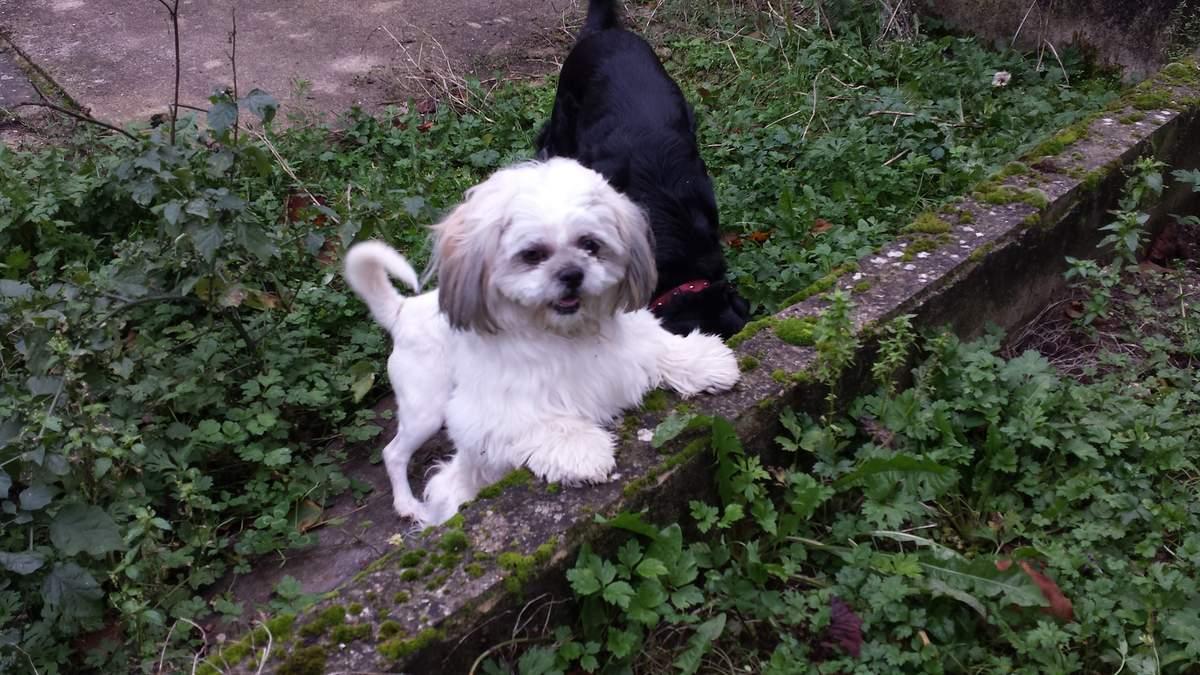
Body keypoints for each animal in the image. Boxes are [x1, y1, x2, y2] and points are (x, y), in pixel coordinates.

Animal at [343, 158, 739, 526]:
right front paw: (580, 449)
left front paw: (704, 362)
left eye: (590, 245)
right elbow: (540, 423)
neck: (567, 333)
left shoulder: (631, 348)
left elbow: (661, 348)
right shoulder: (484, 416)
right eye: (532, 254)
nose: (571, 273)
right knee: (394, 453)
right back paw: (407, 504)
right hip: (426, 410)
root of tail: (403, 310)